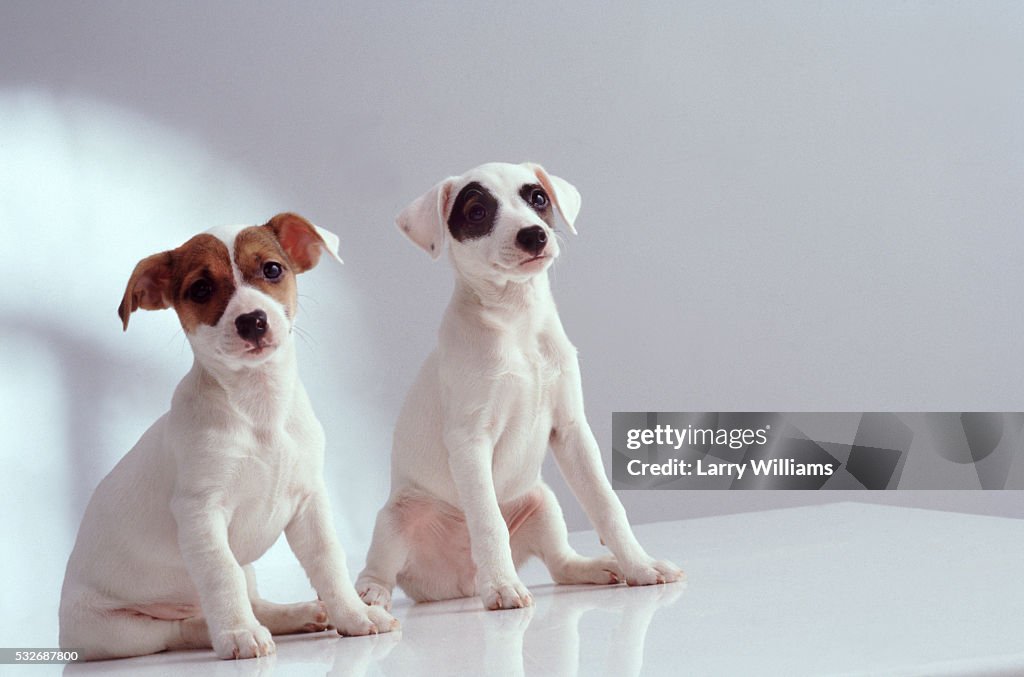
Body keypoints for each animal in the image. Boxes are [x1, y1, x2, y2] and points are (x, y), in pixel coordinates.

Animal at [59, 214, 395, 655]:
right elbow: (221, 575)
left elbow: (328, 561)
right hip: (118, 631)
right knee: (184, 627)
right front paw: (238, 633)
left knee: (251, 600)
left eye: (272, 269)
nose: (252, 320)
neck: (259, 409)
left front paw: (354, 615)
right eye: (201, 289)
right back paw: (234, 631)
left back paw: (300, 613)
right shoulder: (201, 512)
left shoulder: (310, 502)